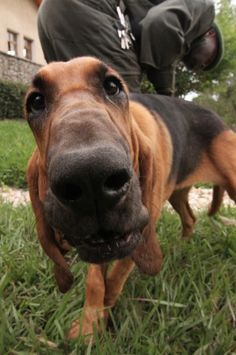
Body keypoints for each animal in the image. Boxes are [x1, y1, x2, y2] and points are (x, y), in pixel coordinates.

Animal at [24, 57, 235, 340]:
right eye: (35, 101)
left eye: (113, 86)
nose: (90, 176)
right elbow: (95, 283)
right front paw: (89, 327)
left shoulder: (139, 230)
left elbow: (115, 279)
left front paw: (102, 318)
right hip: (176, 195)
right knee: (190, 219)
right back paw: (179, 249)